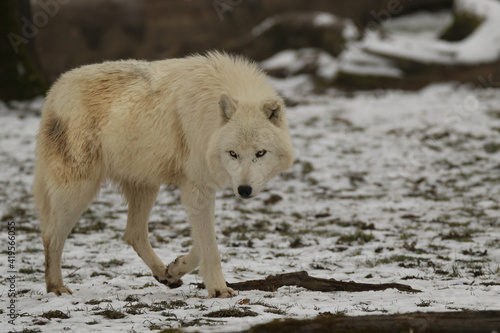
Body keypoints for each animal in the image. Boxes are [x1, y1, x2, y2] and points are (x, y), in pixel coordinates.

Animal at [33, 52, 294, 298]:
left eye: (260, 153)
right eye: (233, 153)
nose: (244, 190)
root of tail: (54, 90)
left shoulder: (200, 190)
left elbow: (205, 244)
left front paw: (176, 267)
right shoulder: (197, 190)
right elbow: (211, 248)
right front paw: (219, 290)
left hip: (146, 187)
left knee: (133, 234)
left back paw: (164, 274)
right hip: (78, 192)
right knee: (51, 236)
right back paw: (56, 287)